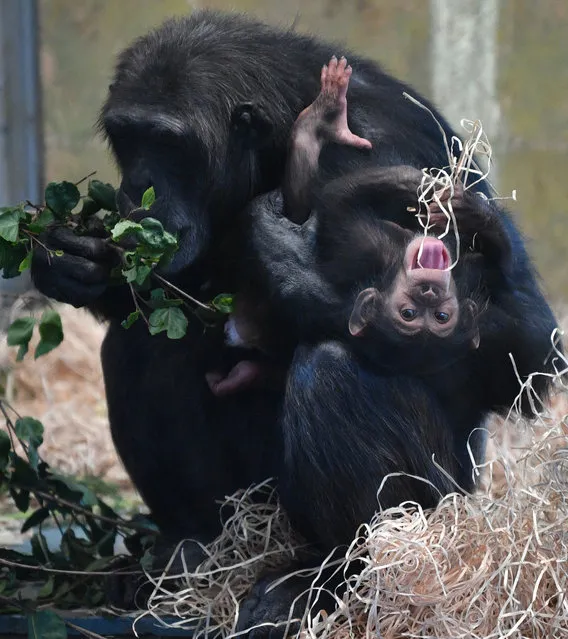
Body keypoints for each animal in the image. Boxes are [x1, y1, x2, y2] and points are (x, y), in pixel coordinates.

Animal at [31, 8, 560, 636]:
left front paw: (279, 248)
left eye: (168, 142)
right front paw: (71, 259)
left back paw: (327, 581)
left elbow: (523, 347)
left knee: (331, 373)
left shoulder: (397, 159)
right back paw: (187, 549)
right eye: (127, 136)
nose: (137, 188)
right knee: (144, 346)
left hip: (439, 507)